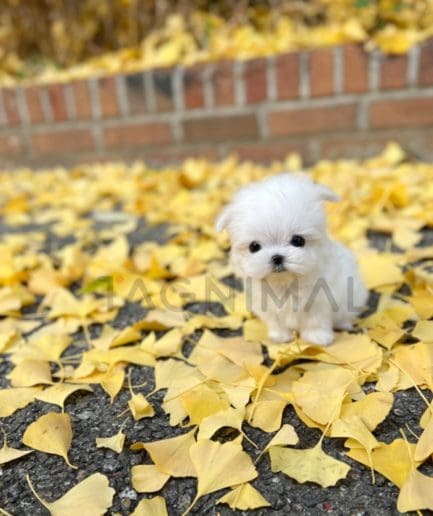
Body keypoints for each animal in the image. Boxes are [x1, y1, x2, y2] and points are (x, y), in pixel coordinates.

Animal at [214, 173, 366, 346]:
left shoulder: (321, 302)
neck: (285, 283)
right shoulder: (268, 306)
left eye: (298, 240)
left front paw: (317, 338)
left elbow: (316, 322)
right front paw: (280, 337)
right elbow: (276, 323)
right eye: (254, 246)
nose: (277, 257)